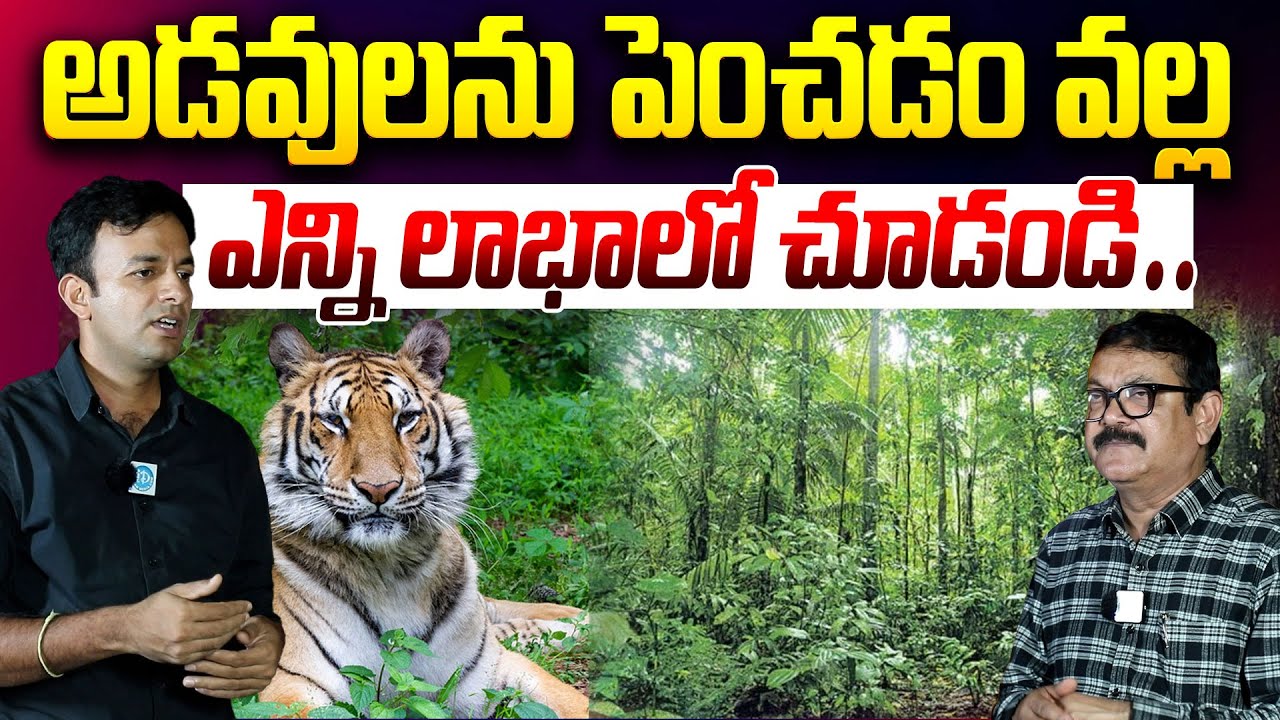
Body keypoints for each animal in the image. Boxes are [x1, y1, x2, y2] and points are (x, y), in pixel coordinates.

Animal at [255, 319, 589, 718]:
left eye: (406, 418)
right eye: (334, 421)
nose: (378, 489)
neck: (394, 571)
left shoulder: (487, 671)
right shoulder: (290, 686)